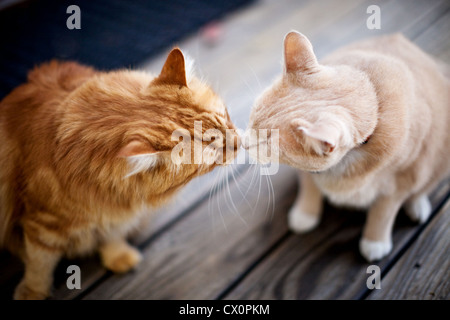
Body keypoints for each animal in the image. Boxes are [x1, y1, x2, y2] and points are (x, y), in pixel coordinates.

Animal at [0, 48, 239, 300]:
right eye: (215, 151)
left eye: (227, 117)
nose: (241, 143)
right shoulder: (42, 222)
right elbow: (40, 262)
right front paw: (33, 291)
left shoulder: (115, 212)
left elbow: (111, 235)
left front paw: (118, 256)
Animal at [244, 31, 450, 262]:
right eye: (252, 118)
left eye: (264, 142)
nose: (243, 143)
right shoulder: (308, 171)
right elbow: (309, 185)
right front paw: (305, 213)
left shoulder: (401, 182)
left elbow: (383, 212)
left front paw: (375, 241)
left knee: (424, 187)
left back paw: (417, 205)